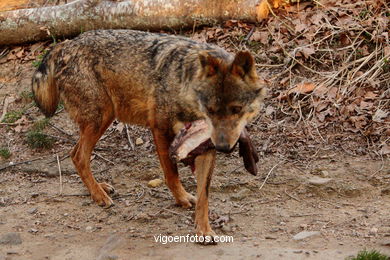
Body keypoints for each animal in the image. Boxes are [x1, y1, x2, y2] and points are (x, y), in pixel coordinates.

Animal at [32, 29, 266, 243]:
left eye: (236, 109)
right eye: (210, 110)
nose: (224, 147)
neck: (185, 88)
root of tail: (66, 44)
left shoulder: (205, 146)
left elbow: (203, 196)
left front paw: (204, 230)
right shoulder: (160, 130)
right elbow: (172, 174)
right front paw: (181, 199)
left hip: (103, 119)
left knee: (75, 154)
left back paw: (100, 187)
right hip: (101, 118)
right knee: (78, 156)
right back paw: (99, 195)